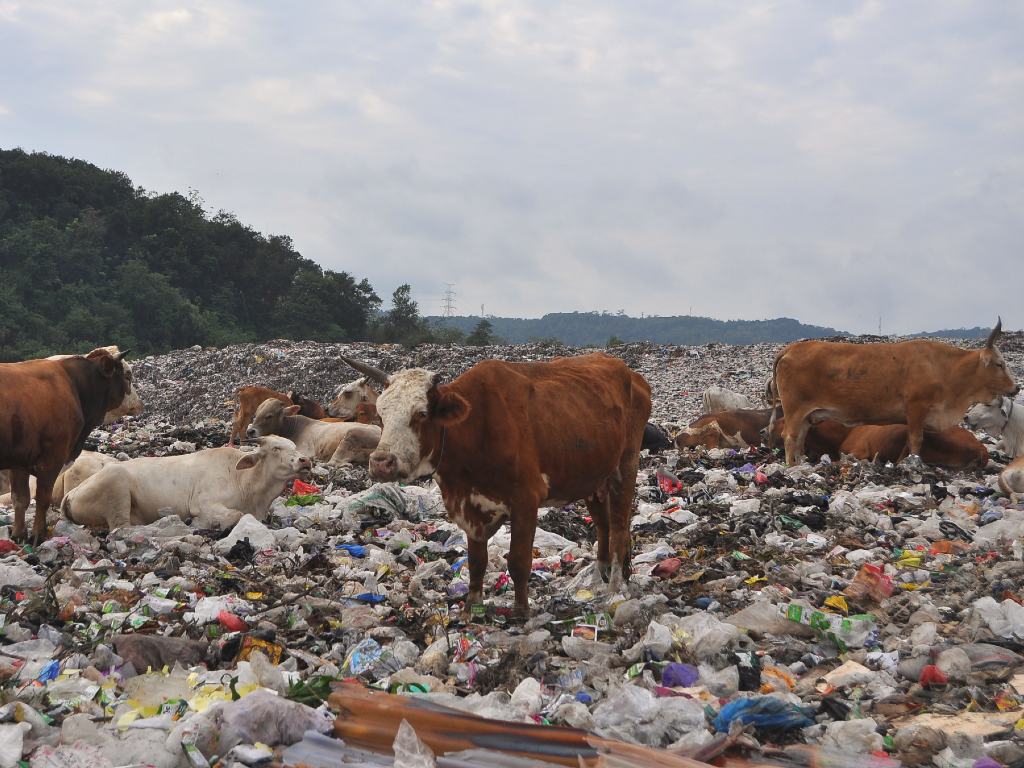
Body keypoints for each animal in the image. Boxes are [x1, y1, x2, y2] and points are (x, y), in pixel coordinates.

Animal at [62, 436, 309, 532]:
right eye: (276, 448)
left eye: (294, 446)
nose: (304, 460)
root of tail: (71, 494)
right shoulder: (204, 503)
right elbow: (235, 515)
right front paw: (197, 523)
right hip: (117, 486)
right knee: (121, 528)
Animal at [246, 399, 380, 466]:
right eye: (255, 415)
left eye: (269, 416)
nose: (250, 431)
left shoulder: (304, 451)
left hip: (352, 433)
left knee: (333, 463)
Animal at [339, 352, 651, 618]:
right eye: (381, 415)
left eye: (421, 414)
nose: (381, 462)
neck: (475, 427)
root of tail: (631, 375)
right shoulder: (471, 506)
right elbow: (477, 561)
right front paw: (471, 608)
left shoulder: (526, 500)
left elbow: (518, 561)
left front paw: (521, 611)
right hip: (595, 478)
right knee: (603, 525)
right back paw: (601, 575)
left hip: (626, 466)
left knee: (619, 528)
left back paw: (614, 587)